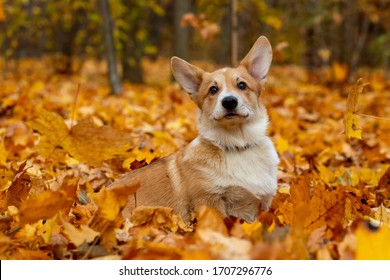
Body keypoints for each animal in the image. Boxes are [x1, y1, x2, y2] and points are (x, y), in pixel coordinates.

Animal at [109, 35, 280, 223]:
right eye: (213, 90)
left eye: (242, 85)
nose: (229, 101)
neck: (237, 144)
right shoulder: (209, 201)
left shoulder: (263, 202)